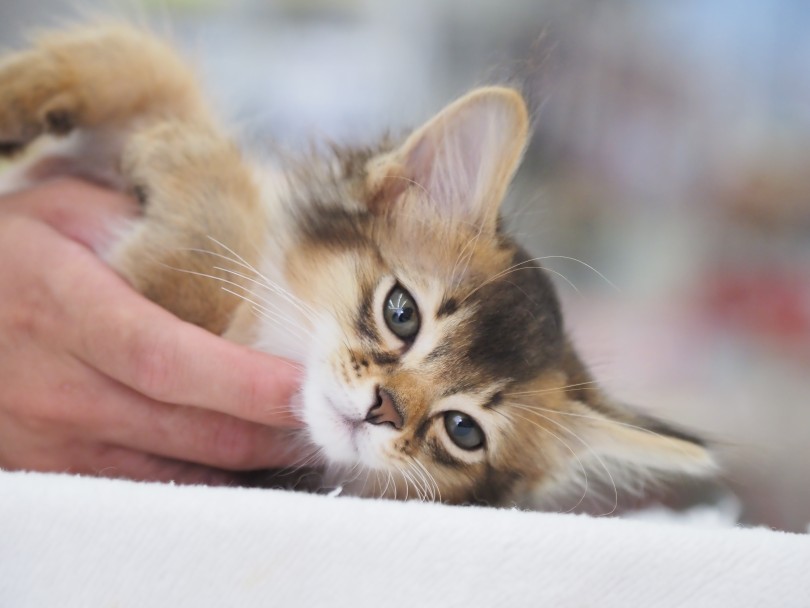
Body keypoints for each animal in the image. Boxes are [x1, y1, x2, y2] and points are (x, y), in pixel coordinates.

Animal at [0, 23, 712, 506]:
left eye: (463, 430)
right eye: (402, 313)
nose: (384, 411)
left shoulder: (183, 297)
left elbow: (197, 256)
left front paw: (182, 152)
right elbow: (143, 61)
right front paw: (21, 90)